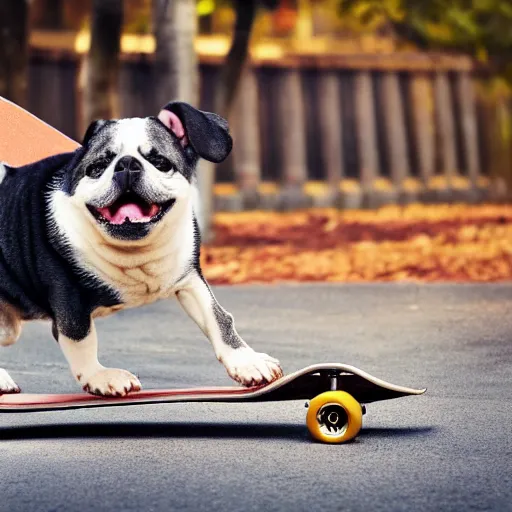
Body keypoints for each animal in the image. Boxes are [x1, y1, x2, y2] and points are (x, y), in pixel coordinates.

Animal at [0, 101, 282, 396]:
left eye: (161, 163)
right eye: (98, 167)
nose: (126, 164)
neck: (134, 250)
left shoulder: (190, 279)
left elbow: (218, 318)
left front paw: (246, 362)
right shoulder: (69, 297)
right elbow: (81, 339)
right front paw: (101, 376)